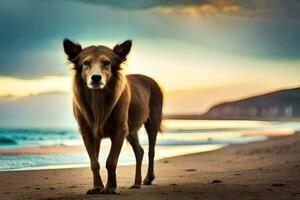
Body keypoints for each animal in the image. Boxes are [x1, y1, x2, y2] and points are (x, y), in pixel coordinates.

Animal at [61, 38, 163, 194]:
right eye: (86, 63)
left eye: (107, 63)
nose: (96, 77)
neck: (98, 98)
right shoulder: (87, 131)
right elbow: (94, 162)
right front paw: (97, 186)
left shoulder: (119, 129)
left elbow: (111, 161)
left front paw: (110, 187)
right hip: (131, 130)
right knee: (139, 152)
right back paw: (137, 183)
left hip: (152, 123)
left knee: (151, 151)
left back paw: (148, 178)